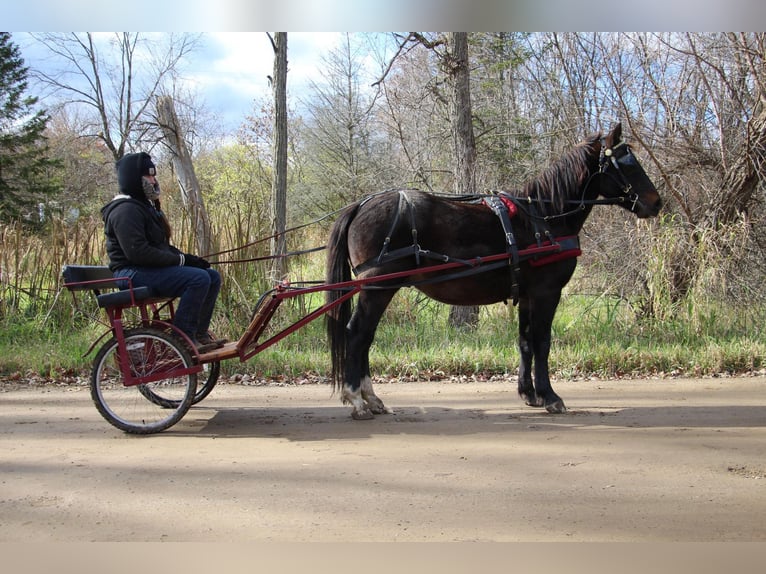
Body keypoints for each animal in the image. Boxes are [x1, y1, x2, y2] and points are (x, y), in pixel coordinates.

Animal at [324, 124, 660, 420]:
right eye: (625, 162)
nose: (656, 203)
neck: (544, 218)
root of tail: (362, 204)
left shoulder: (528, 295)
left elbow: (525, 341)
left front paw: (530, 394)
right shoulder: (547, 292)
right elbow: (542, 342)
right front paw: (551, 396)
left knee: (365, 337)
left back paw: (371, 398)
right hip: (379, 288)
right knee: (358, 334)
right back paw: (358, 399)